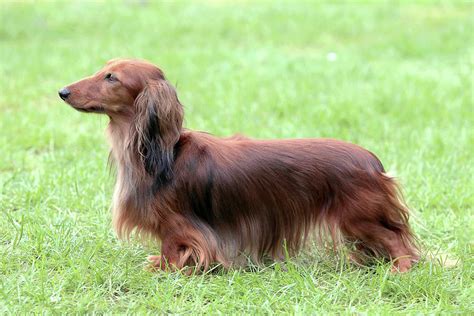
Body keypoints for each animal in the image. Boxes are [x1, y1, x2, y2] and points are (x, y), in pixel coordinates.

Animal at [59, 58, 418, 272]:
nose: (62, 91)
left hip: (360, 217)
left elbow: (172, 246)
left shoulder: (177, 224)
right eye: (102, 69)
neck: (161, 152)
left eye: (111, 78)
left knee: (398, 243)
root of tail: (372, 161)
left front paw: (165, 268)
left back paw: (400, 269)